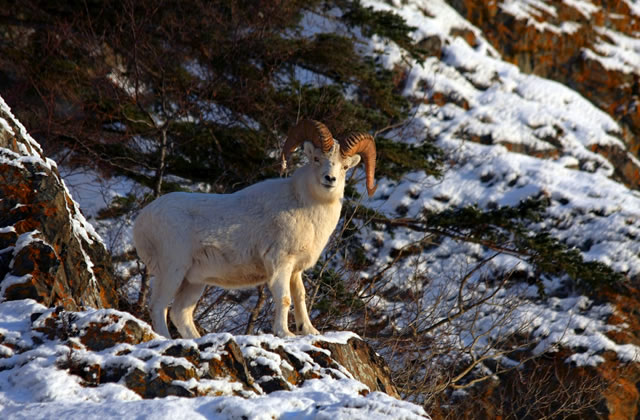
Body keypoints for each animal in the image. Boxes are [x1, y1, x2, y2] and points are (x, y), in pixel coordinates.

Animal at [133, 119, 377, 338]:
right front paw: (285, 333)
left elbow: (300, 297)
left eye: (345, 166)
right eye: (317, 159)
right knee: (159, 307)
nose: (330, 179)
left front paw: (309, 331)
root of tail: (142, 219)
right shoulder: (279, 263)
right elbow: (284, 298)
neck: (305, 207)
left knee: (180, 314)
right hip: (172, 269)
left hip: (194, 281)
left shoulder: (295, 270)